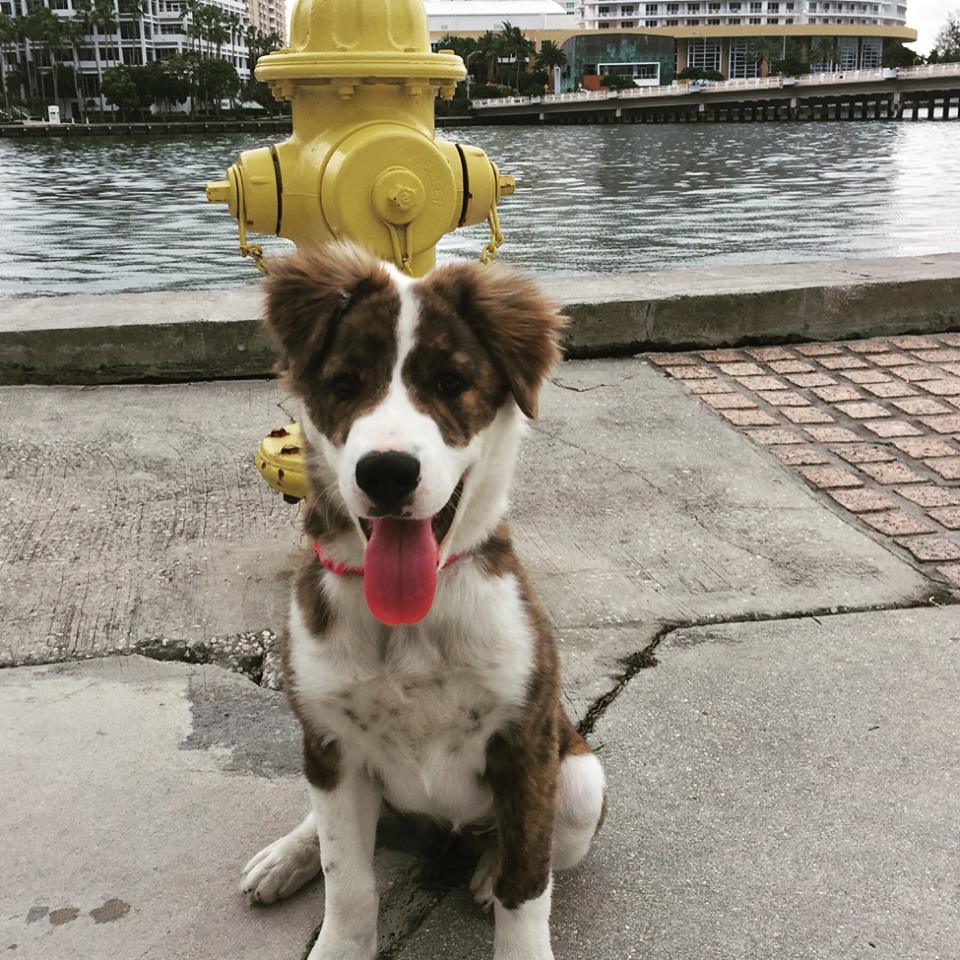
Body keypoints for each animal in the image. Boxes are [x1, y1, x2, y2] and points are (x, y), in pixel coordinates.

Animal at [240, 244, 604, 960]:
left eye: (450, 381)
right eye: (346, 384)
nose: (386, 473)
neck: (408, 626)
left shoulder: (525, 744)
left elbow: (528, 885)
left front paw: (510, 900)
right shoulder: (332, 740)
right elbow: (349, 883)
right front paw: (339, 942)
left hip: (581, 779)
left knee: (528, 845)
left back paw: (487, 870)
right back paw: (286, 855)